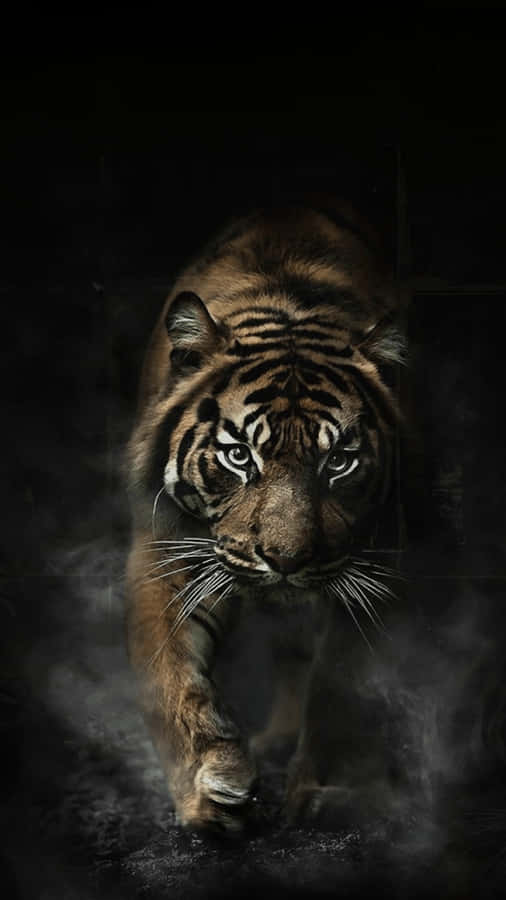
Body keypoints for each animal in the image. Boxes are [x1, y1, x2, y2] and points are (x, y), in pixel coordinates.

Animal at [125, 198, 408, 834]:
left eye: (339, 461)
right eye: (239, 455)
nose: (285, 559)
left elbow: (340, 686)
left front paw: (318, 792)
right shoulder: (166, 548)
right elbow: (169, 674)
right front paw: (210, 788)